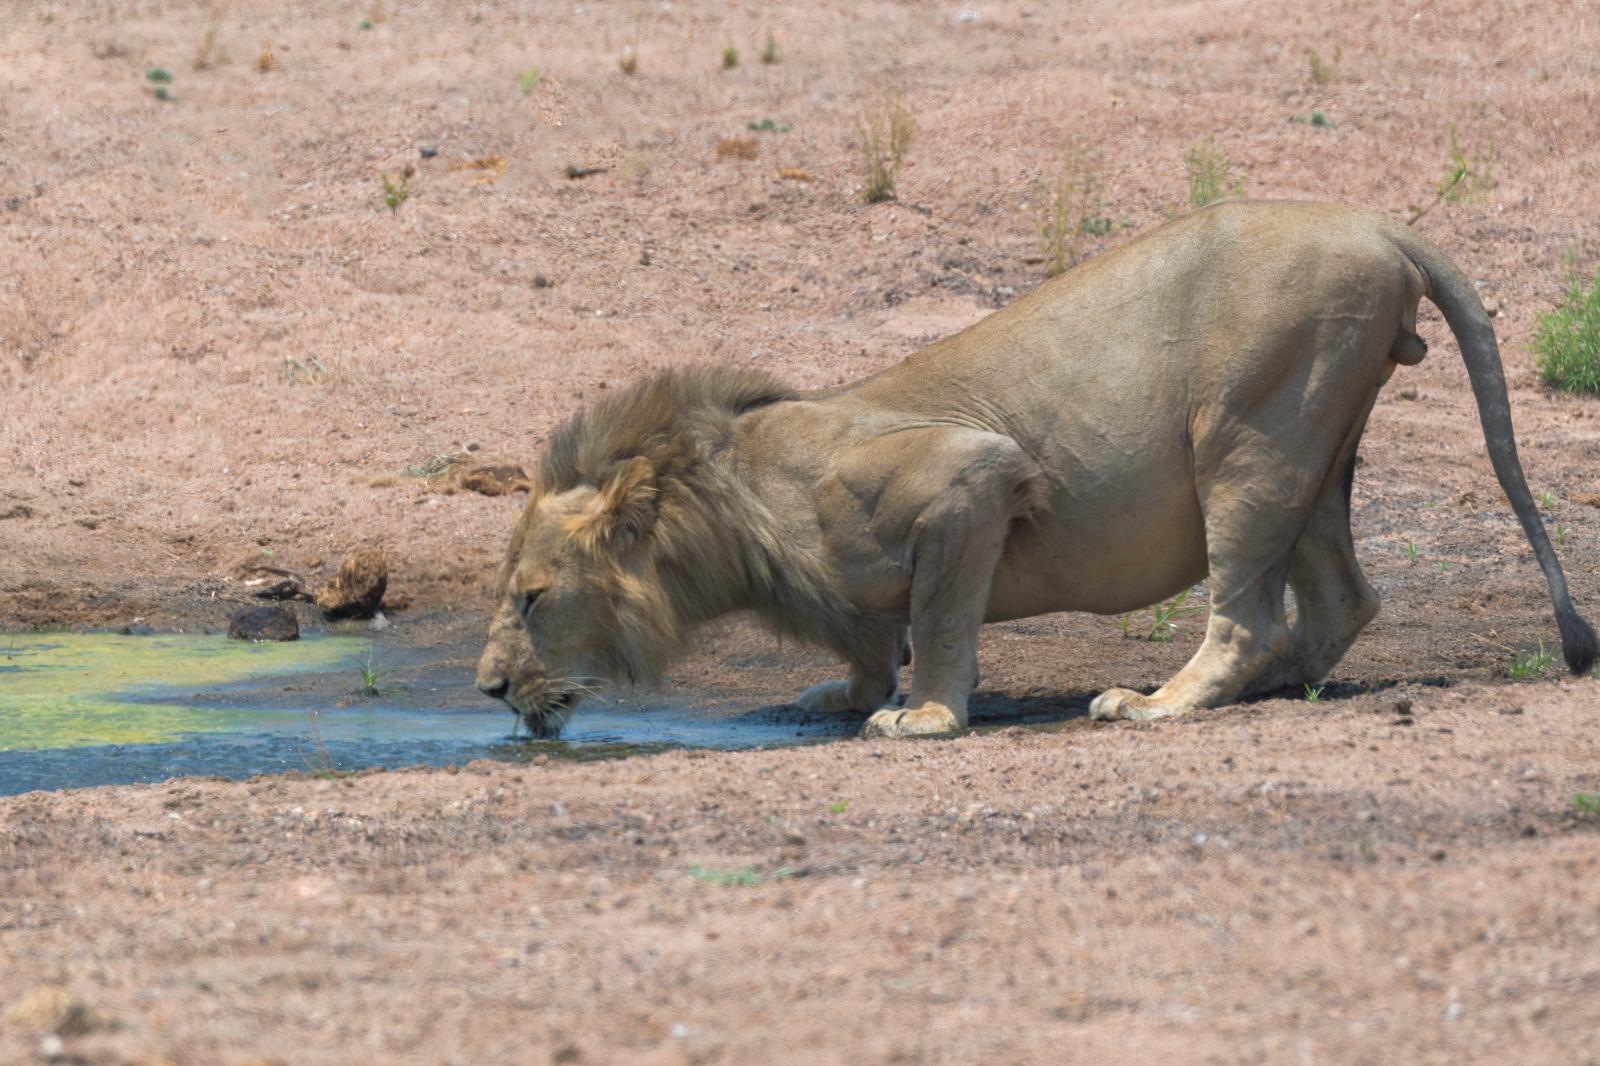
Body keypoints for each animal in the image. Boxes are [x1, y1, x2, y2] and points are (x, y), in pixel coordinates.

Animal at [476, 200, 1596, 739]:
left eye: (531, 597)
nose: (486, 687)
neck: (734, 500)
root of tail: (1377, 222)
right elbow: (868, 641)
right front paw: (839, 694)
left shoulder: (967, 478)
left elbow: (936, 622)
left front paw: (923, 717)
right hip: (1319, 443)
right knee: (1340, 602)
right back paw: (1271, 688)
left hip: (1251, 435)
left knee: (1249, 612)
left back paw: (1160, 703)